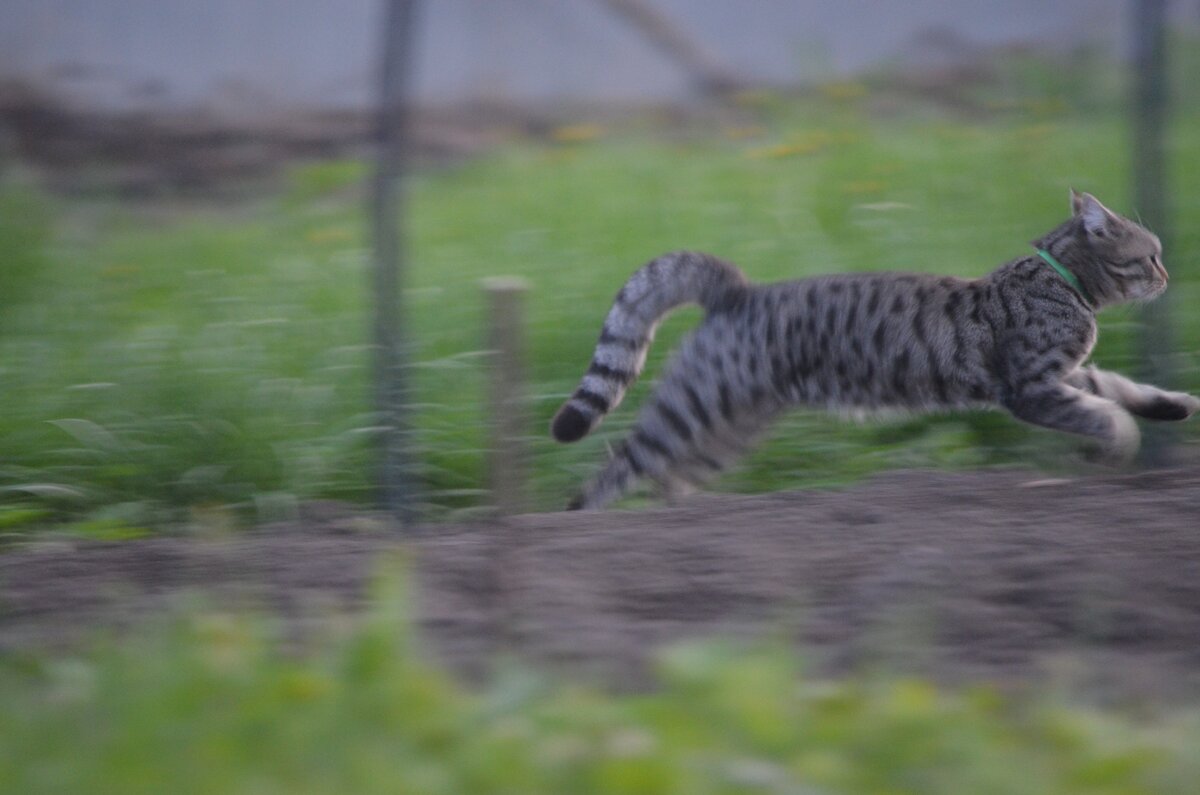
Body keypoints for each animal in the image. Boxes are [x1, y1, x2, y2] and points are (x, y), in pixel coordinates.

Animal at [549, 193, 1195, 511]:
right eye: (1151, 256)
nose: (1169, 275)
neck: (1063, 283)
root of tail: (738, 289)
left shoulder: (1069, 375)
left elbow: (1122, 390)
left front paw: (1175, 406)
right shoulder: (1032, 388)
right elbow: (1106, 415)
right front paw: (1118, 446)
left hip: (729, 426)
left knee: (667, 475)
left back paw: (683, 517)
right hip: (695, 408)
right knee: (619, 466)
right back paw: (582, 523)